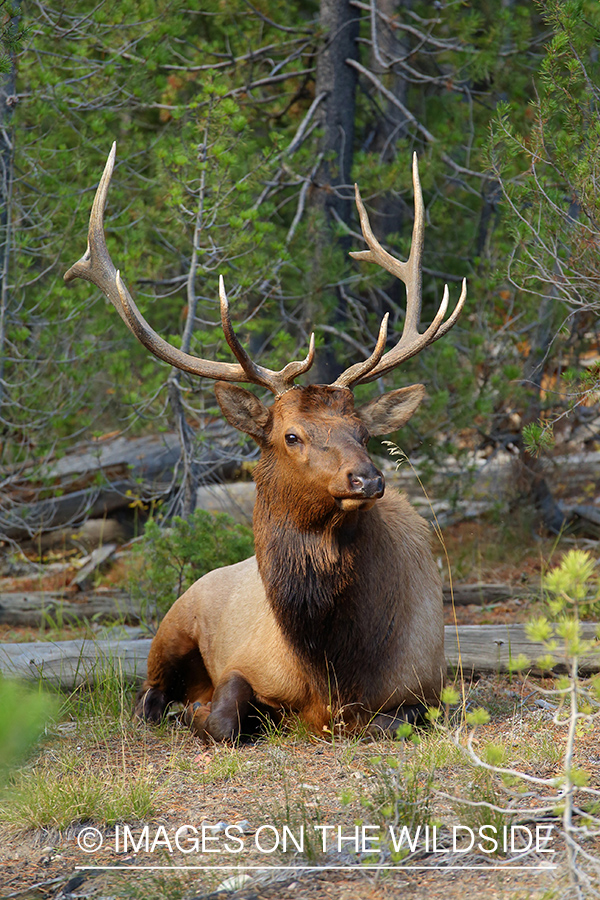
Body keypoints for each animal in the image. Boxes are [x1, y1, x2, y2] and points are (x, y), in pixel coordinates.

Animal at [67, 146, 468, 740]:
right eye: (290, 435)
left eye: (363, 432)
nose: (367, 478)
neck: (332, 669)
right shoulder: (248, 664)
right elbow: (224, 716)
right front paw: (199, 711)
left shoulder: (427, 688)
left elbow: (390, 722)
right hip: (172, 623)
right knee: (146, 692)